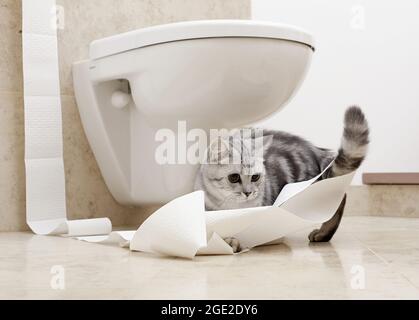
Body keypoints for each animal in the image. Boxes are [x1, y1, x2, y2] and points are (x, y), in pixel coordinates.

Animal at [195, 106, 370, 251]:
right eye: (234, 177)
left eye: (255, 177)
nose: (248, 192)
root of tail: (315, 151)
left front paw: (233, 241)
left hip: (307, 191)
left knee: (338, 199)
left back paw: (323, 234)